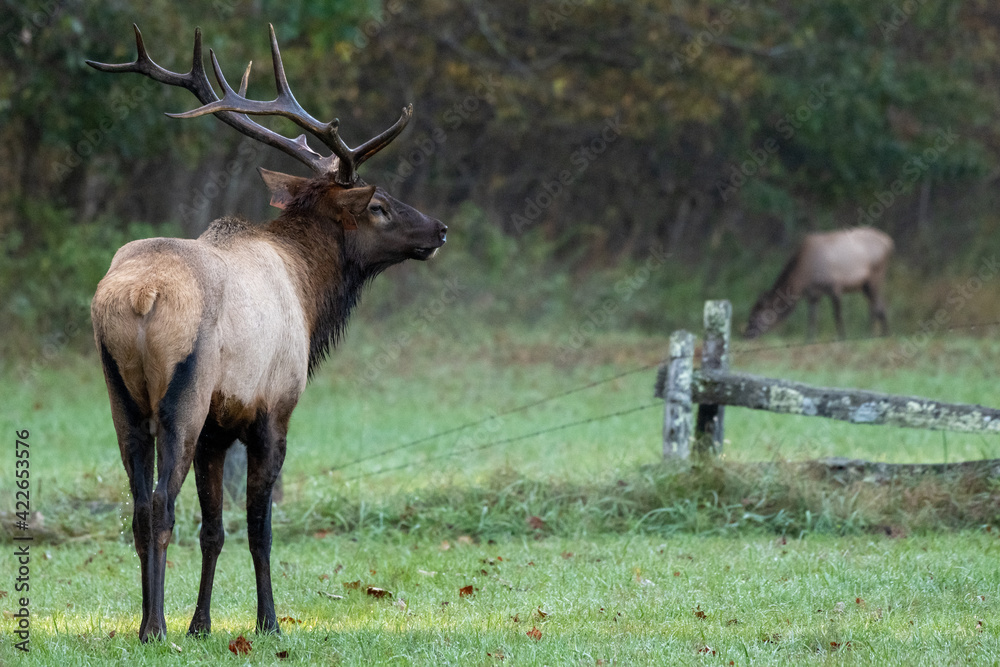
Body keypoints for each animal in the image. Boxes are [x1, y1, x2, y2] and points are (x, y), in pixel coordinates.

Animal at [87, 25, 446, 642]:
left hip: (121, 397)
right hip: (183, 397)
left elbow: (214, 530)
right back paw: (154, 626)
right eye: (377, 205)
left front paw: (201, 624)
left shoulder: (217, 430)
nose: (439, 229)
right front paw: (269, 621)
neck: (309, 294)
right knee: (159, 505)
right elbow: (260, 527)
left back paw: (149, 624)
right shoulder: (272, 410)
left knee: (136, 506)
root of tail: (140, 297)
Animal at [743, 227, 893, 341]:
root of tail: (889, 242)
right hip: (865, 285)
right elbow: (812, 318)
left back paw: (874, 334)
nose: (746, 335)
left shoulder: (835, 287)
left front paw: (842, 337)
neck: (803, 278)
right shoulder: (813, 294)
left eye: (754, 316)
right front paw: (809, 339)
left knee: (877, 307)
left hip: (876, 277)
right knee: (880, 306)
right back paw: (882, 334)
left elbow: (837, 316)